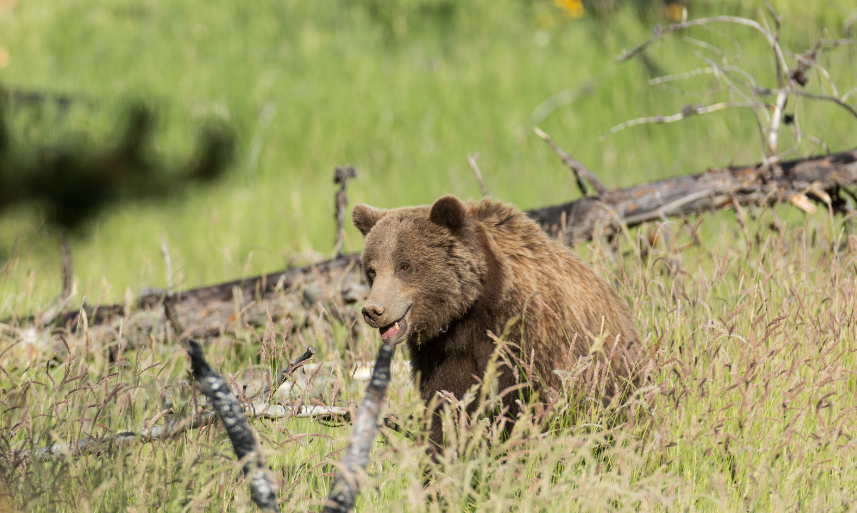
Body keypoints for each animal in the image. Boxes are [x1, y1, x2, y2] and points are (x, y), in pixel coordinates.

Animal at [352, 194, 640, 450]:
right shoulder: (440, 353)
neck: (469, 309)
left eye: (404, 266)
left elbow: (524, 405)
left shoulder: (523, 337)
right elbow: (444, 408)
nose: (373, 310)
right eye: (372, 270)